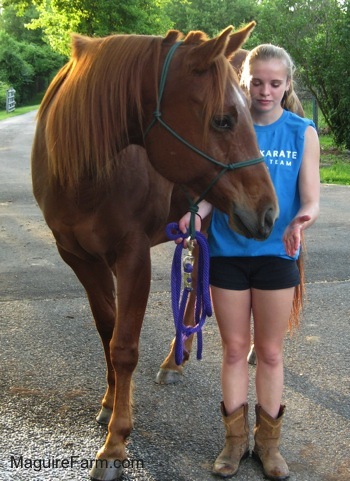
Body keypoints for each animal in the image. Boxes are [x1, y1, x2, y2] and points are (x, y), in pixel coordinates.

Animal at [31, 23, 278, 480]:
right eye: (222, 119)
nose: (268, 211)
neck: (84, 173)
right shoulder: (80, 260)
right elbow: (107, 331)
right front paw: (108, 403)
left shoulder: (133, 258)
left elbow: (125, 346)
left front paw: (115, 443)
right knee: (195, 285)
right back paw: (174, 359)